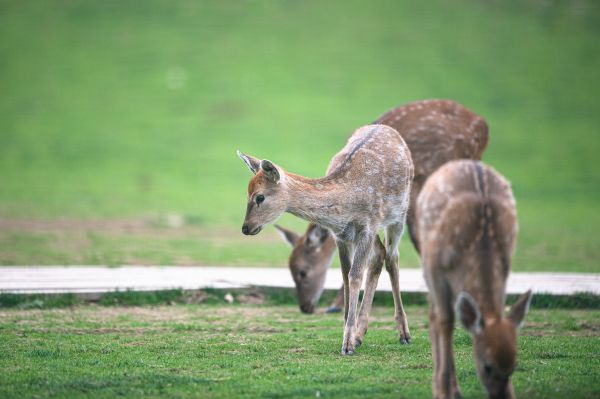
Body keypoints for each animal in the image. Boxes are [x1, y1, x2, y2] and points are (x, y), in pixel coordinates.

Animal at [238, 123, 412, 354]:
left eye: (259, 196)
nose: (246, 227)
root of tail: (387, 128)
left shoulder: (368, 225)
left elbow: (355, 276)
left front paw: (347, 344)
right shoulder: (341, 235)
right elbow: (345, 276)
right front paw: (349, 336)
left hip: (399, 214)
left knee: (393, 258)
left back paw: (404, 334)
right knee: (379, 256)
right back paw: (361, 334)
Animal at [420, 160, 532, 399]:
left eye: (514, 365)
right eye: (487, 366)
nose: (502, 397)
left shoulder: (505, 266)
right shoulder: (435, 267)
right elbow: (446, 321)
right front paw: (444, 390)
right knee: (434, 313)